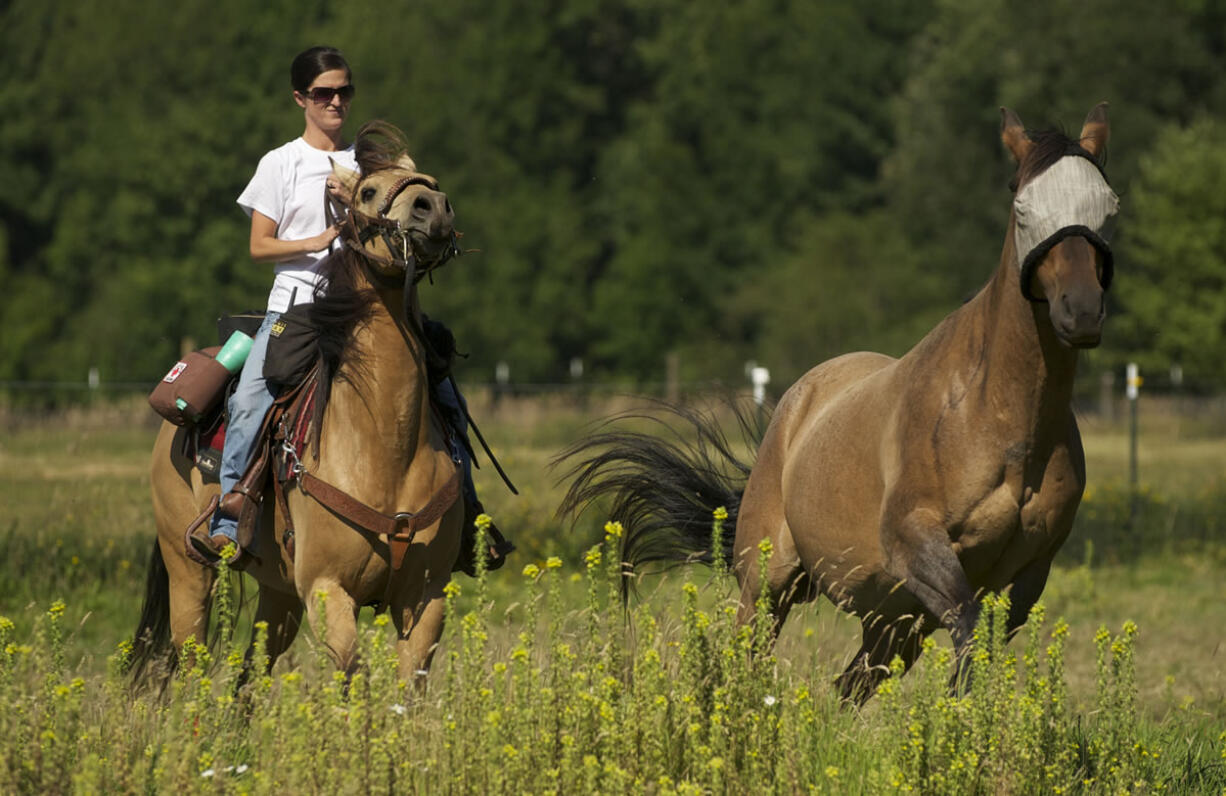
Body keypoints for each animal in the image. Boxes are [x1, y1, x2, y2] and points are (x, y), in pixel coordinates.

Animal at [133, 120, 468, 681]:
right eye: (368, 192)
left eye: (434, 182)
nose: (433, 207)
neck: (384, 444)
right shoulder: (326, 590)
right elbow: (353, 671)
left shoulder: (426, 599)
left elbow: (408, 684)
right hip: (189, 574)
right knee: (193, 662)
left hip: (278, 593)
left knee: (250, 674)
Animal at [561, 104, 1118, 701]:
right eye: (1021, 207)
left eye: (1109, 206)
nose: (1082, 311)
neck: (1000, 419)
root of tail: (794, 405)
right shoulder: (917, 545)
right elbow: (969, 633)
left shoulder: (1028, 575)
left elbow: (981, 650)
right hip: (769, 586)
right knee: (751, 658)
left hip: (895, 621)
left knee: (848, 688)